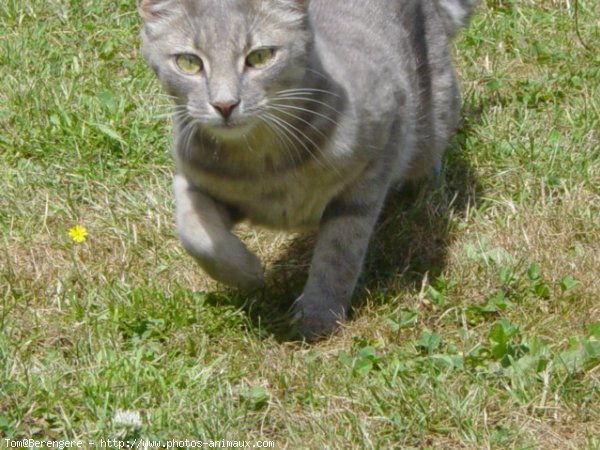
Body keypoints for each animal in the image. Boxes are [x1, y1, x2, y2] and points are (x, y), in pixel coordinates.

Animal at [138, 0, 476, 340]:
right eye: (189, 62)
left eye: (259, 57)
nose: (224, 105)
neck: (266, 165)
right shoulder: (193, 181)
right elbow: (195, 233)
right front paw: (246, 272)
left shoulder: (372, 167)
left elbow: (339, 251)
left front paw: (318, 314)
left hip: (432, 117)